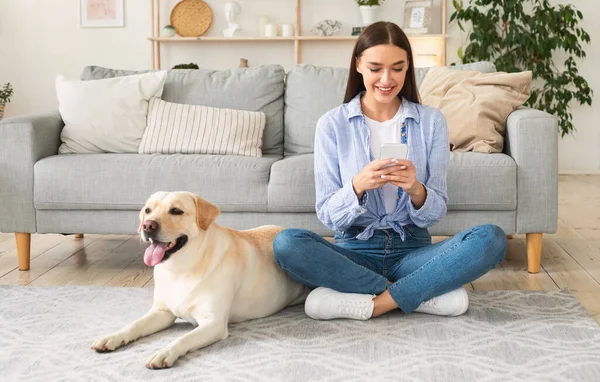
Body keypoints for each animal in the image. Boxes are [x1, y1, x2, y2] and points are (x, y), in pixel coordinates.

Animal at [94, 192, 312, 368]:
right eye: (148, 210)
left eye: (176, 211)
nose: (148, 225)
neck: (181, 268)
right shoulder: (162, 313)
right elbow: (134, 325)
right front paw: (112, 337)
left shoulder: (213, 323)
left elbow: (184, 338)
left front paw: (164, 352)